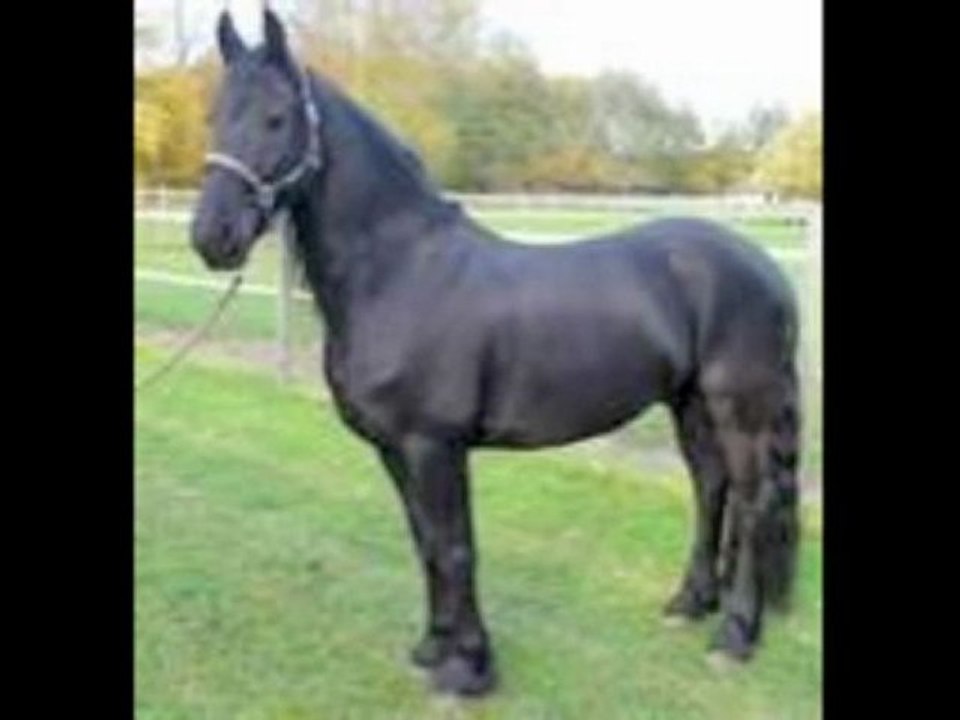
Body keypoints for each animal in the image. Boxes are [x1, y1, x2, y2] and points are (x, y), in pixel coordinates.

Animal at [191, 9, 801, 697]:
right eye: (213, 115)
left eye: (277, 117)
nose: (212, 237)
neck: (401, 271)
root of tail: (762, 265)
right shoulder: (395, 448)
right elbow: (425, 542)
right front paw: (433, 647)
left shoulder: (434, 445)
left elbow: (455, 547)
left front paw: (468, 669)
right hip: (689, 401)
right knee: (711, 487)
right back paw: (691, 604)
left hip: (739, 407)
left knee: (754, 502)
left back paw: (735, 637)